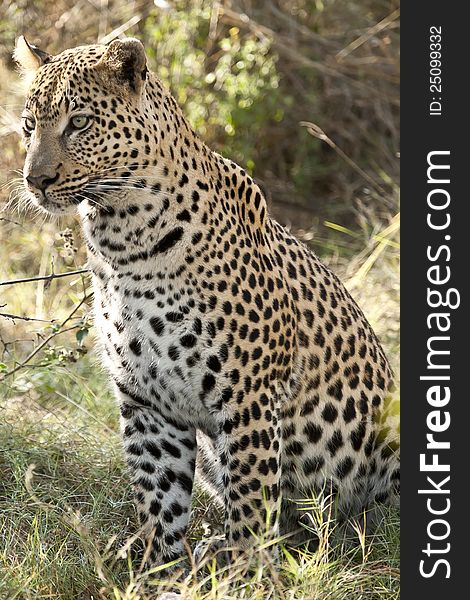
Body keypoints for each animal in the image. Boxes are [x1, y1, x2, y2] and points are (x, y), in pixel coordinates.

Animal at [12, 35, 398, 568]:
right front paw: (160, 569)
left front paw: (247, 571)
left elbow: (252, 499)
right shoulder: (147, 400)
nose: (36, 180)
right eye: (29, 126)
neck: (123, 239)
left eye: (80, 123)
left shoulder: (249, 396)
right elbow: (159, 497)